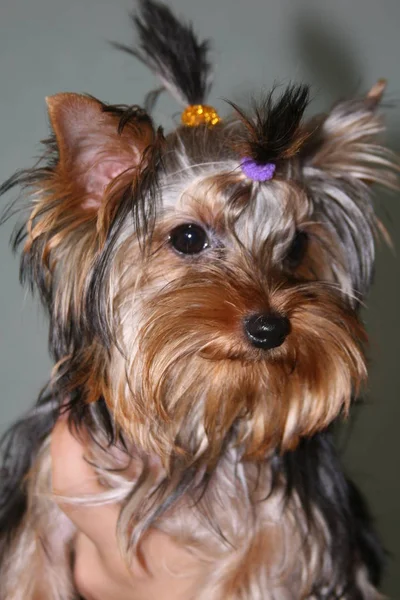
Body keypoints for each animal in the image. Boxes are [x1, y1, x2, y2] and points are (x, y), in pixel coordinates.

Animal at [0, 1, 398, 600]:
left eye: (298, 245)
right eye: (188, 237)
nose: (270, 328)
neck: (200, 412)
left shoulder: (294, 530)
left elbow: (257, 571)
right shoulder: (43, 488)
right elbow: (30, 566)